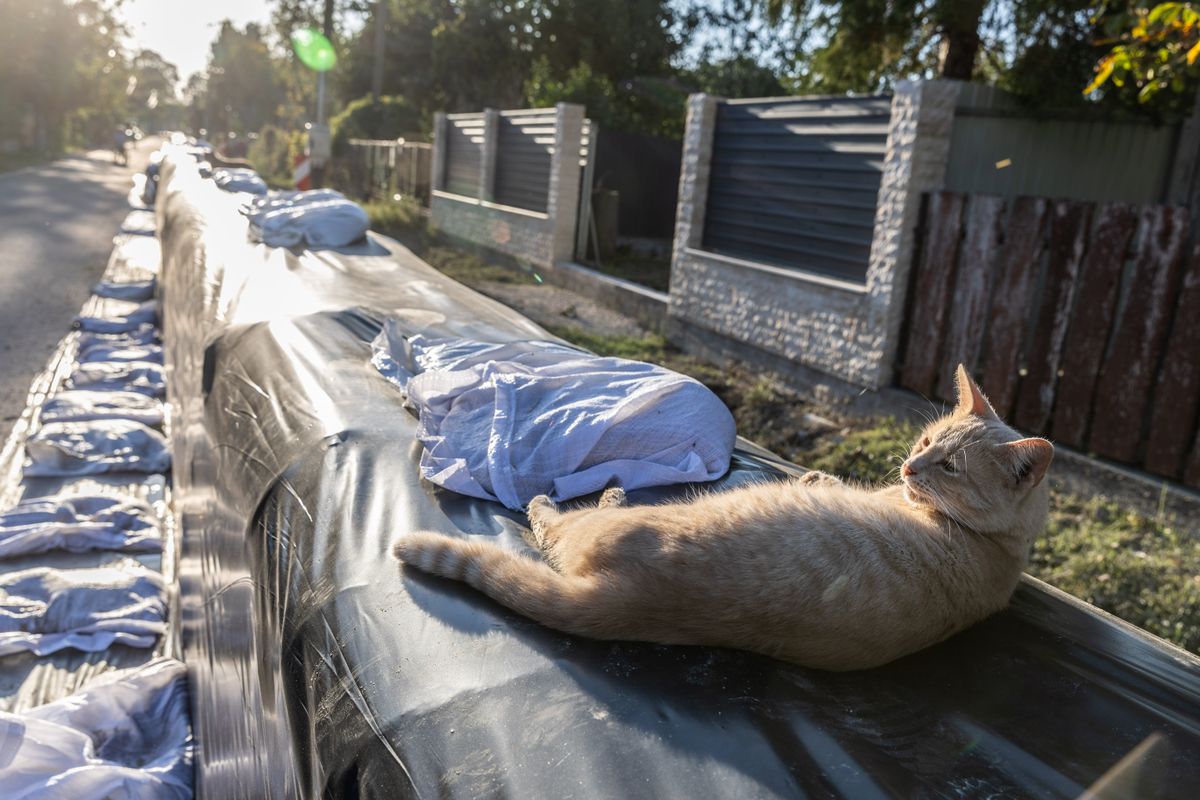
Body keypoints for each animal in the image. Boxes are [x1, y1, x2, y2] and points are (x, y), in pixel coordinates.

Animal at [393, 367, 1051, 671]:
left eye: (951, 467)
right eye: (926, 440)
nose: (911, 467)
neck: (997, 544)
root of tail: (629, 600)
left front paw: (821, 479)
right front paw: (819, 476)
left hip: (621, 523)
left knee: (549, 526)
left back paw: (583, 499)